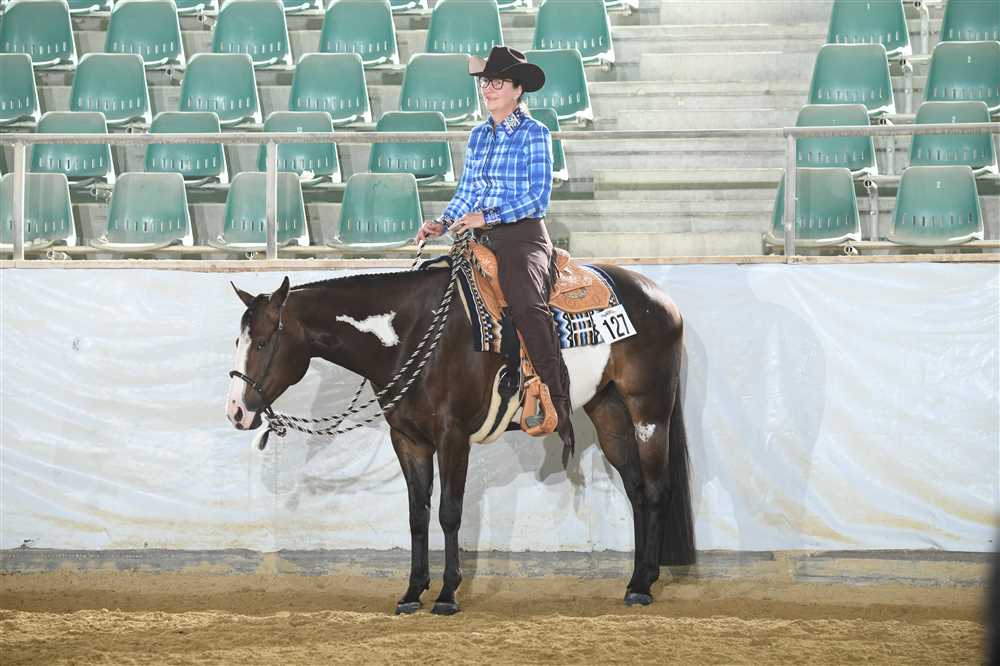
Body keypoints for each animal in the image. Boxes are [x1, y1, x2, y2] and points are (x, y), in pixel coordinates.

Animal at [225, 260, 695, 614]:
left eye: (263, 342)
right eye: (238, 341)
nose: (237, 412)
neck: (413, 332)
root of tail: (661, 298)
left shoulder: (453, 436)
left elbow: (449, 512)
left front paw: (448, 594)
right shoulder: (408, 439)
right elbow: (417, 515)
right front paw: (412, 593)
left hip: (650, 411)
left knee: (656, 489)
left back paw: (643, 588)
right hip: (608, 409)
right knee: (636, 489)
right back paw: (638, 578)